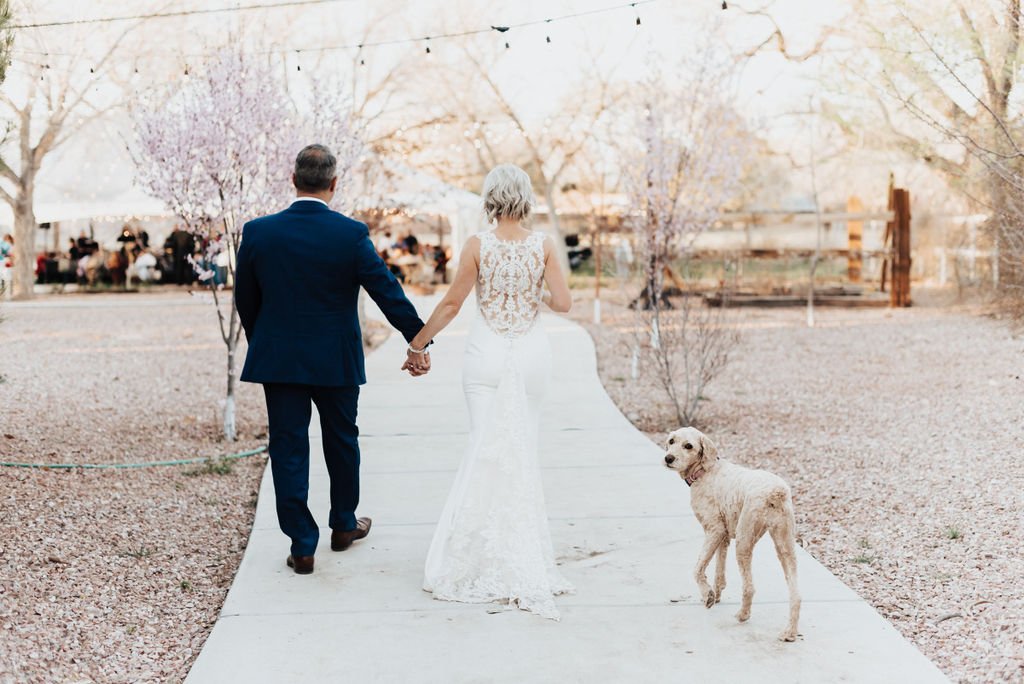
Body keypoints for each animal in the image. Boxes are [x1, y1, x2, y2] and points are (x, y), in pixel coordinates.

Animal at [663, 428, 798, 643]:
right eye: (671, 441)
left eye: (688, 446)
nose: (668, 458)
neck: (705, 470)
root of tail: (775, 493)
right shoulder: (723, 537)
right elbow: (719, 571)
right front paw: (715, 594)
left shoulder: (714, 530)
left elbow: (697, 569)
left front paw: (707, 596)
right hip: (786, 547)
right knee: (796, 595)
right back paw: (790, 632)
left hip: (744, 542)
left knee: (749, 587)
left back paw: (743, 615)